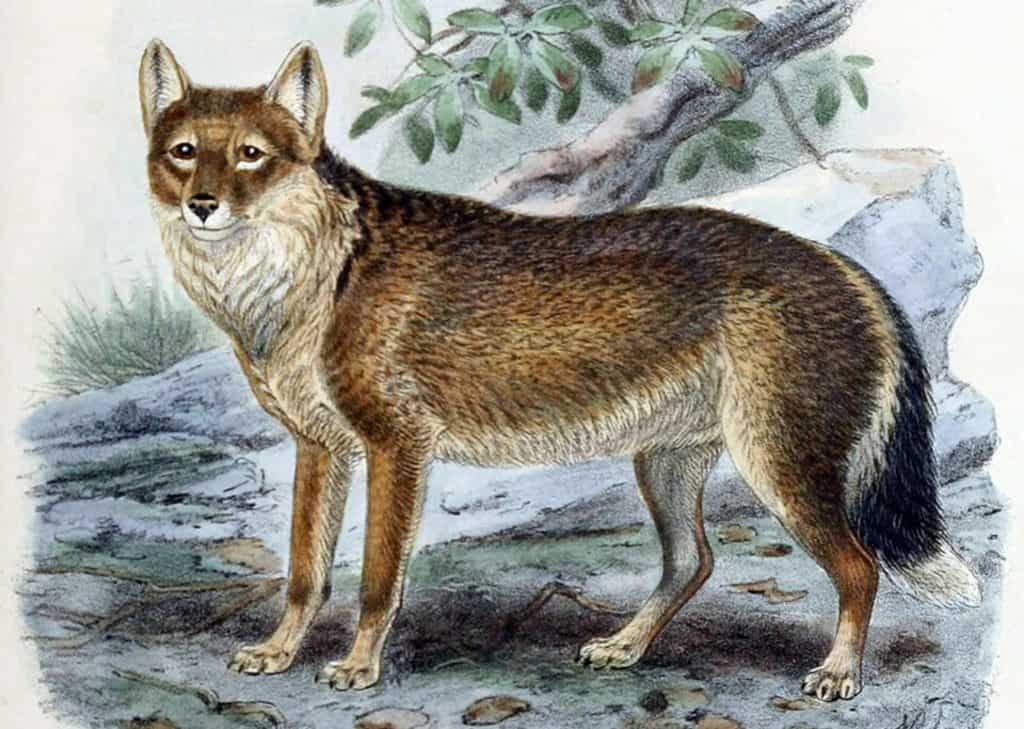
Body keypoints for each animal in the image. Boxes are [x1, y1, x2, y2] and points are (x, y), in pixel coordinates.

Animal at [138, 39, 980, 701]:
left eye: (252, 155)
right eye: (185, 153)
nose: (205, 206)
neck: (317, 273)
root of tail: (848, 268)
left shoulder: (395, 447)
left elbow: (376, 579)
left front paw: (359, 666)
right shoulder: (320, 450)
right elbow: (304, 573)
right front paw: (279, 651)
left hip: (778, 468)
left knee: (859, 567)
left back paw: (838, 673)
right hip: (667, 464)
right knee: (693, 561)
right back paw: (625, 646)